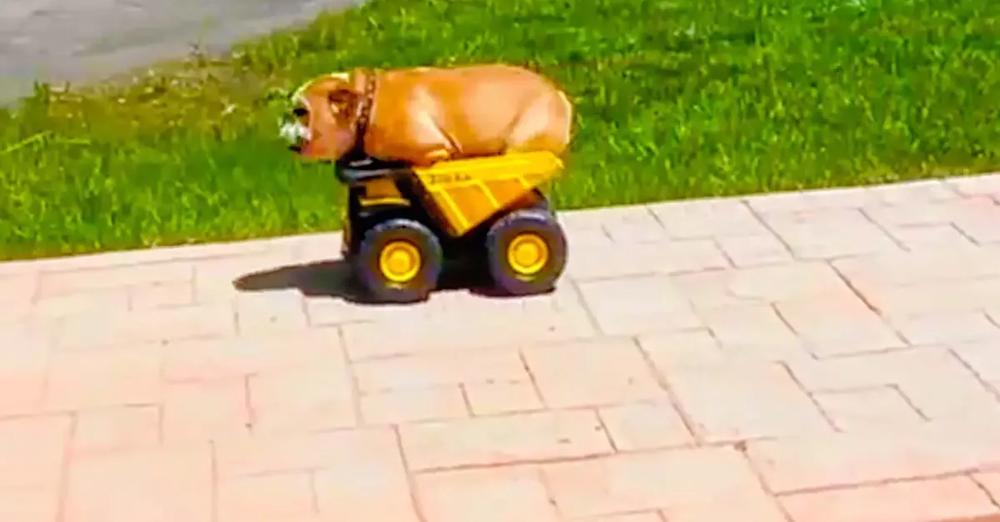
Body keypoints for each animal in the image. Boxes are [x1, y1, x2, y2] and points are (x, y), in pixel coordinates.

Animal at [282, 63, 576, 165]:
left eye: (301, 112)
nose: (283, 122)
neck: (367, 106)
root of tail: (559, 96)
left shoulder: (429, 147)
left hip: (520, 144)